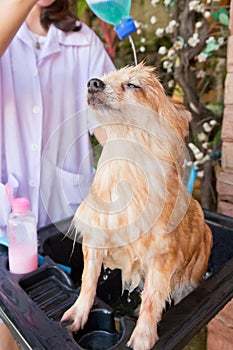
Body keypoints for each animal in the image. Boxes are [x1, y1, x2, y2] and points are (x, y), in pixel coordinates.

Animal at [61, 63, 213, 350]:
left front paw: (143, 333)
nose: (92, 82)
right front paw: (79, 312)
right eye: (103, 78)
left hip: (188, 279)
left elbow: (153, 298)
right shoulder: (96, 239)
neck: (126, 162)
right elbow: (88, 280)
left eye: (133, 85)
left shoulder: (162, 256)